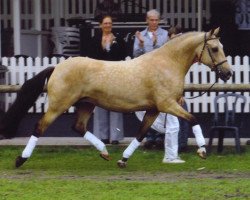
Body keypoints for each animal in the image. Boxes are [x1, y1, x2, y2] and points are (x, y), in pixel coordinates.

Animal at [13, 27, 231, 168]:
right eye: (214, 49)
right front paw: (202, 151)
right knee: (40, 127)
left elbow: (141, 133)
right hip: (59, 105)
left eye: (222, 46)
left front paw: (122, 160)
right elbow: (193, 119)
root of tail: (57, 67)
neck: (167, 63)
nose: (228, 74)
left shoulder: (154, 109)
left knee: (79, 127)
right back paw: (20, 159)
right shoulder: (167, 104)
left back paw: (104, 152)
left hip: (86, 105)